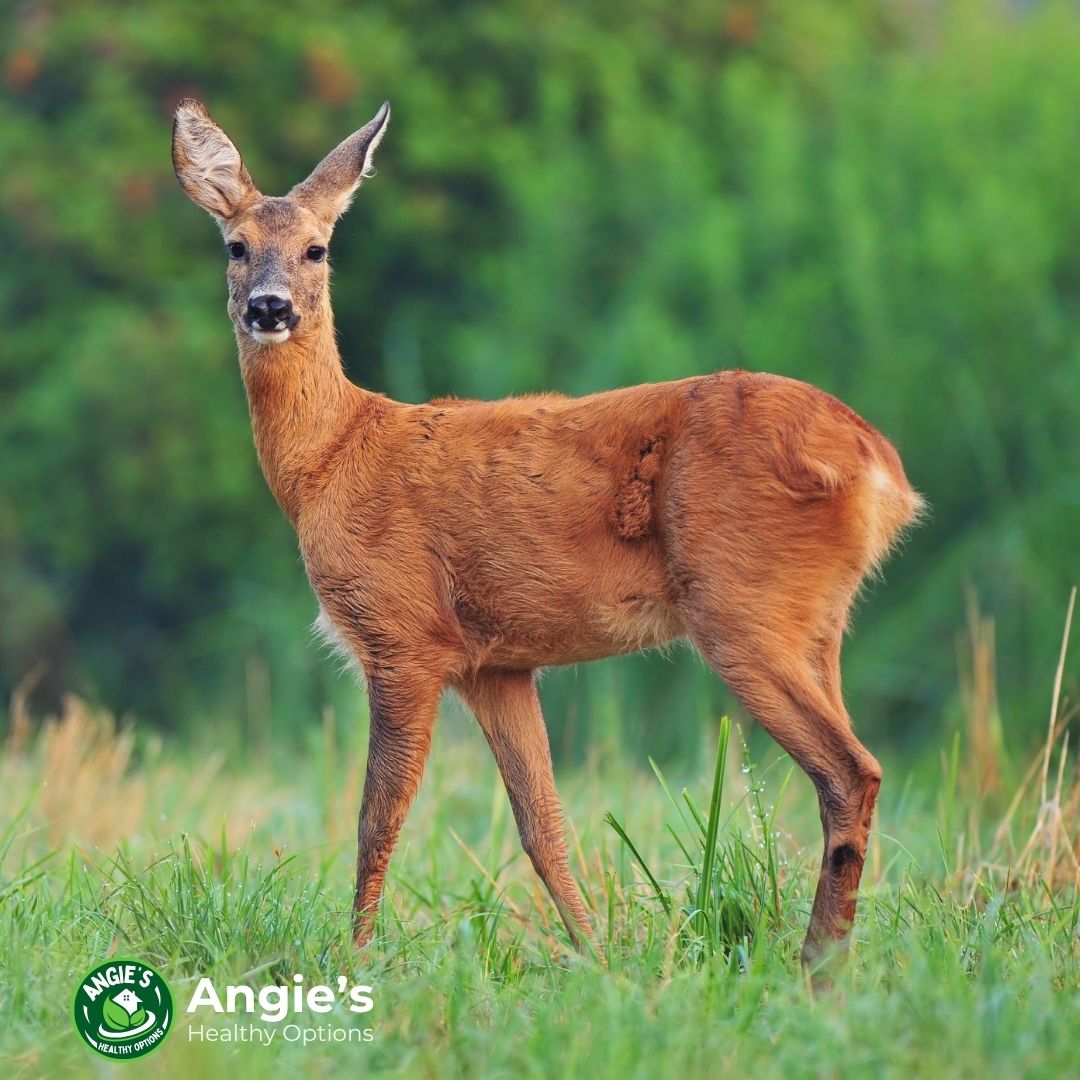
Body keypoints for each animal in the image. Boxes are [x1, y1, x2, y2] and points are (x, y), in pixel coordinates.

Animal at [172, 97, 923, 981]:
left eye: (317, 247)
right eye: (236, 245)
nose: (270, 307)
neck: (331, 457)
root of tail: (878, 467)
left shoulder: (402, 633)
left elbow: (377, 817)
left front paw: (355, 959)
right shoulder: (497, 663)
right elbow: (543, 824)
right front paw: (597, 958)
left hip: (742, 603)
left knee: (851, 770)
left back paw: (816, 965)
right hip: (819, 620)